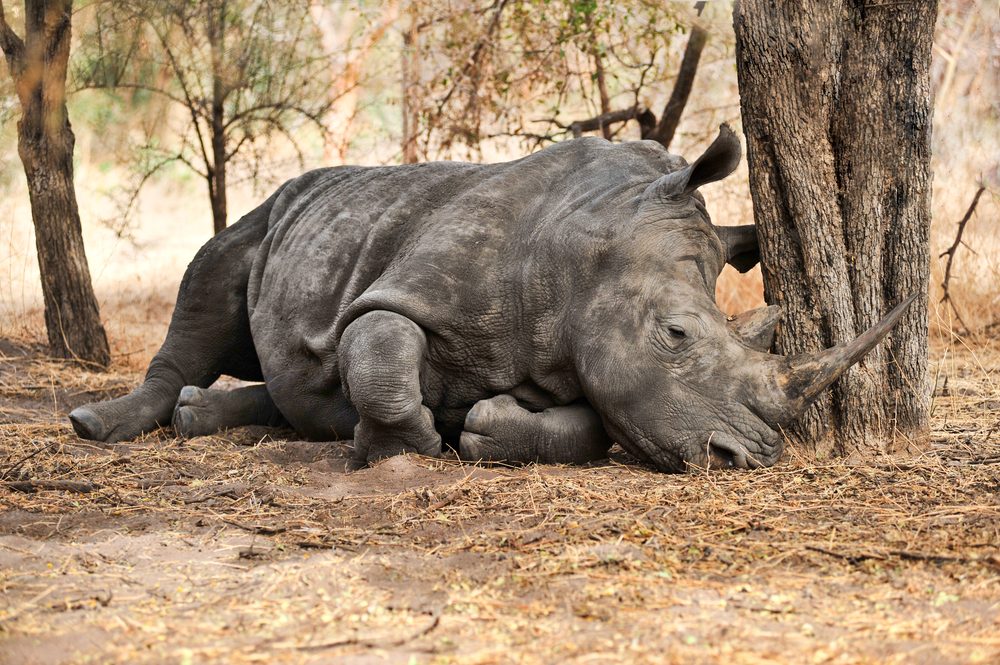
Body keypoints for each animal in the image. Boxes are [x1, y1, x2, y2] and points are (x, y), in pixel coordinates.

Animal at [69, 125, 913, 472]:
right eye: (676, 334)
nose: (750, 458)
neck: (590, 244)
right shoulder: (401, 291)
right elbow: (380, 352)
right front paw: (402, 446)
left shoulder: (577, 352)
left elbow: (591, 428)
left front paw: (480, 428)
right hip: (274, 208)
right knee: (211, 279)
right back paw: (98, 425)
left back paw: (199, 419)